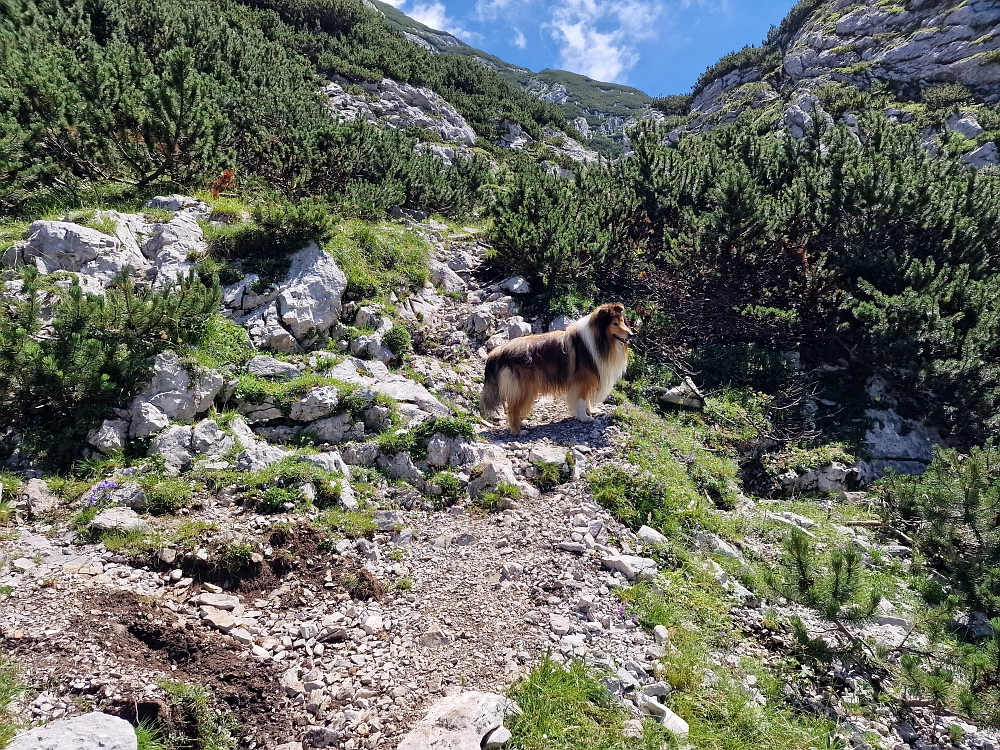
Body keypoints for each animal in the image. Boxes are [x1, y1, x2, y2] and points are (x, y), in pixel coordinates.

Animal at [478, 304, 632, 434]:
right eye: (614, 323)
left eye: (623, 321)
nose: (631, 334)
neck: (598, 340)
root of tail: (498, 352)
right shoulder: (582, 381)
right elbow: (581, 400)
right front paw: (584, 418)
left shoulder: (589, 380)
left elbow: (587, 399)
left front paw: (591, 411)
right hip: (524, 388)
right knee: (513, 409)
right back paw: (518, 431)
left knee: (513, 407)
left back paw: (521, 423)